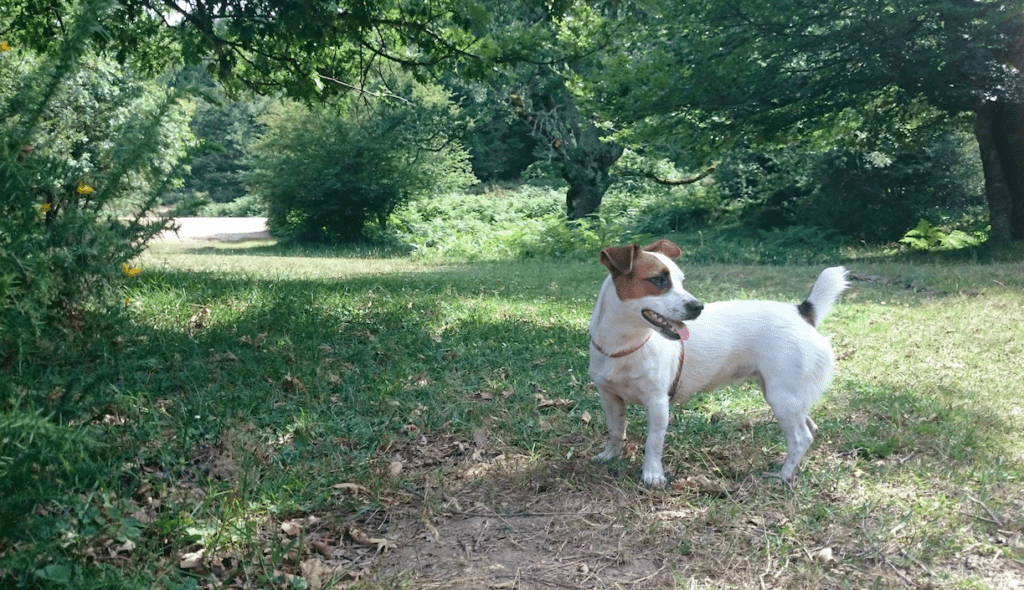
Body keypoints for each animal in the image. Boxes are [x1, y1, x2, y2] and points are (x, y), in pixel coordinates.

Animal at [589, 237, 851, 485]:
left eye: (681, 281)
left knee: (800, 437)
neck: (623, 346)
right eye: (659, 280)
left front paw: (652, 474)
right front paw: (611, 455)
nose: (698, 307)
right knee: (809, 429)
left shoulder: (657, 403)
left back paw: (783, 476)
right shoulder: (610, 398)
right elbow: (616, 430)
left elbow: (653, 443)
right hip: (789, 398)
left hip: (783, 398)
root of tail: (802, 312)